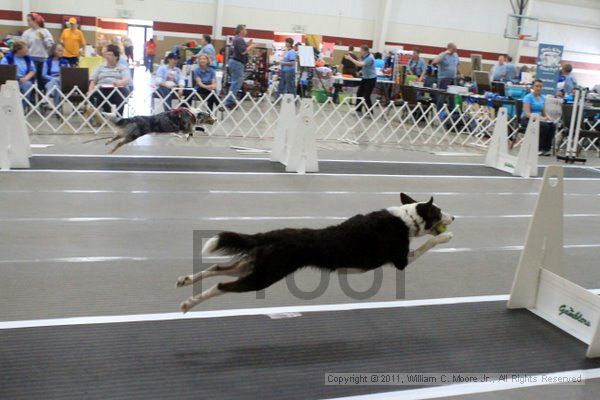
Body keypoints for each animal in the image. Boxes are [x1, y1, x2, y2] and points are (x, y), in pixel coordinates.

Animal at [177, 194, 454, 312]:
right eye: (439, 212)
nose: (454, 217)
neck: (406, 218)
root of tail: (272, 234)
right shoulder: (401, 260)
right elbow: (427, 244)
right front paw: (445, 236)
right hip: (264, 276)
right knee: (221, 285)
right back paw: (189, 303)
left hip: (254, 264)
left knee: (217, 269)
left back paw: (186, 280)